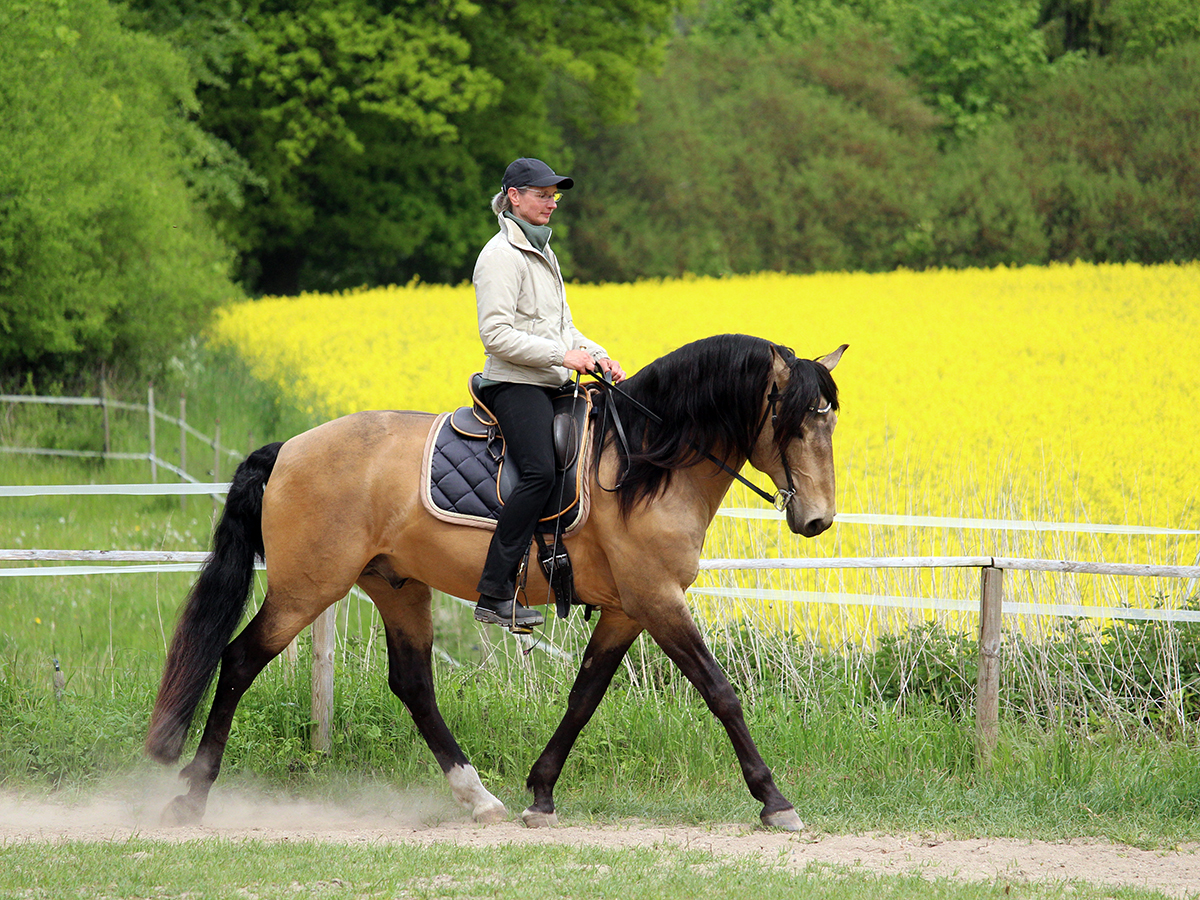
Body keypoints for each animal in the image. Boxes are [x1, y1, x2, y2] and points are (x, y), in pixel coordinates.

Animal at [145, 333, 847, 831]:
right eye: (793, 424)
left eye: (830, 422)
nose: (817, 520)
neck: (645, 462)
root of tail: (289, 448)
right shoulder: (656, 599)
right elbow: (720, 691)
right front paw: (775, 800)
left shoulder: (629, 608)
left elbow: (584, 696)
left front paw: (541, 791)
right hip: (306, 589)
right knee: (238, 660)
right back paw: (192, 797)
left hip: (397, 587)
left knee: (413, 685)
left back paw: (478, 797)